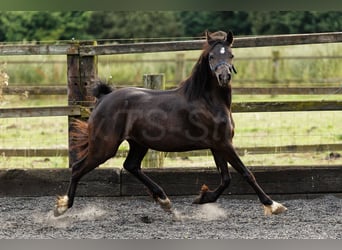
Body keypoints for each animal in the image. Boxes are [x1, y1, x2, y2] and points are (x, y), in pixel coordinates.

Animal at [54, 29, 286, 217]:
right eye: (211, 56)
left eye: (231, 54)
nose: (224, 77)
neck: (207, 101)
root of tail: (104, 97)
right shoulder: (223, 143)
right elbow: (246, 173)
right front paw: (273, 205)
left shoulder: (217, 144)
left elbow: (226, 178)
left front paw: (202, 198)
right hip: (105, 146)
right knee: (78, 168)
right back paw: (62, 208)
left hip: (138, 143)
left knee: (131, 166)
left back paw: (164, 201)